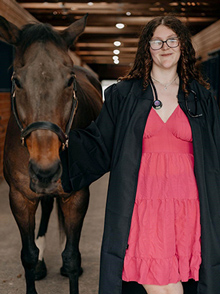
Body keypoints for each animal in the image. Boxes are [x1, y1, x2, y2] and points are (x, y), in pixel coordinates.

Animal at [0, 15, 102, 294]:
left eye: (69, 80)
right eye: (17, 80)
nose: (46, 169)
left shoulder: (77, 195)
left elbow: (72, 256)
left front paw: (71, 266)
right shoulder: (20, 197)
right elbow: (27, 255)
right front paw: (35, 263)